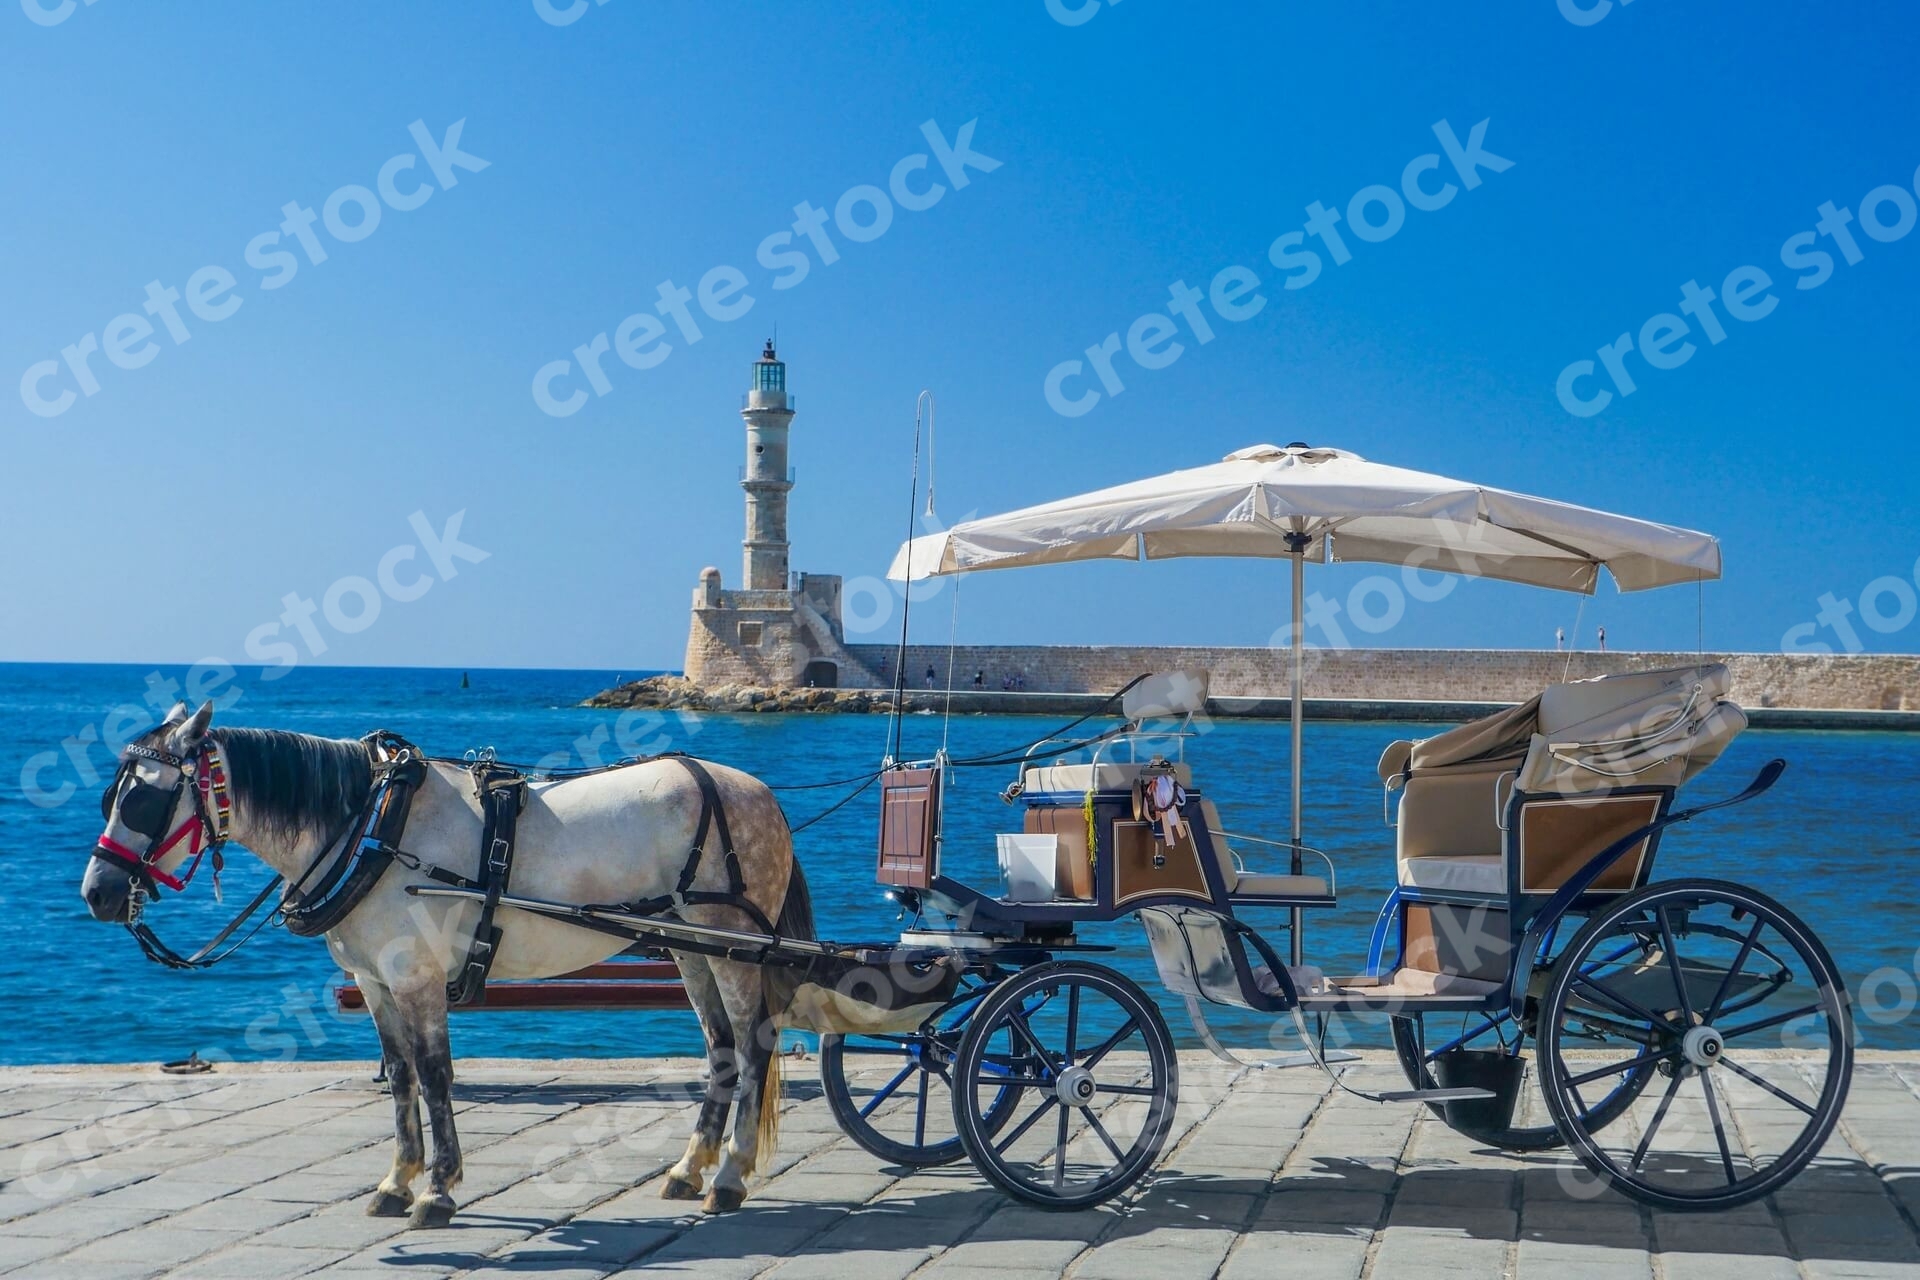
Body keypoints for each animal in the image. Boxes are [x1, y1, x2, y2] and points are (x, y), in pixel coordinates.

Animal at [78, 706, 814, 1228]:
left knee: (753, 1046)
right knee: (720, 1048)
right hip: (690, 946)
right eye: (110, 797)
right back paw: (691, 1169)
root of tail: (757, 791)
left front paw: (438, 1189)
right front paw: (397, 1181)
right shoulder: (375, 982)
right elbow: (401, 1076)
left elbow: (435, 1077)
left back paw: (730, 1176)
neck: (373, 825)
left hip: (733, 943)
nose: (98, 893)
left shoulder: (416, 977)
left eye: (144, 799)